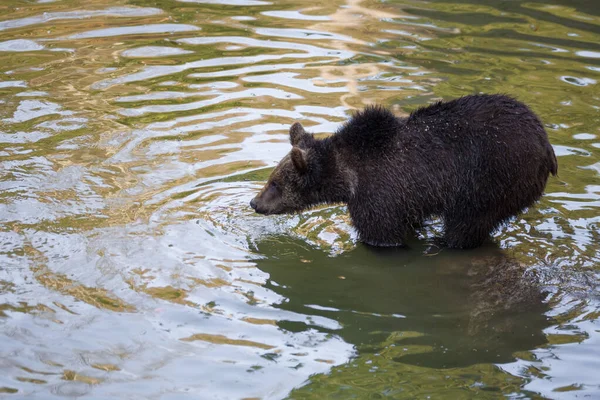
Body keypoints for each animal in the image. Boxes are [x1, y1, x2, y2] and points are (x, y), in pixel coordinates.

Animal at [250, 95, 556, 248]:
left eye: (275, 183)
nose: (254, 202)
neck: (347, 176)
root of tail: (546, 144)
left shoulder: (379, 193)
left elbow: (381, 235)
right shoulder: (406, 199)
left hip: (493, 177)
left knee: (467, 223)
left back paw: (444, 242)